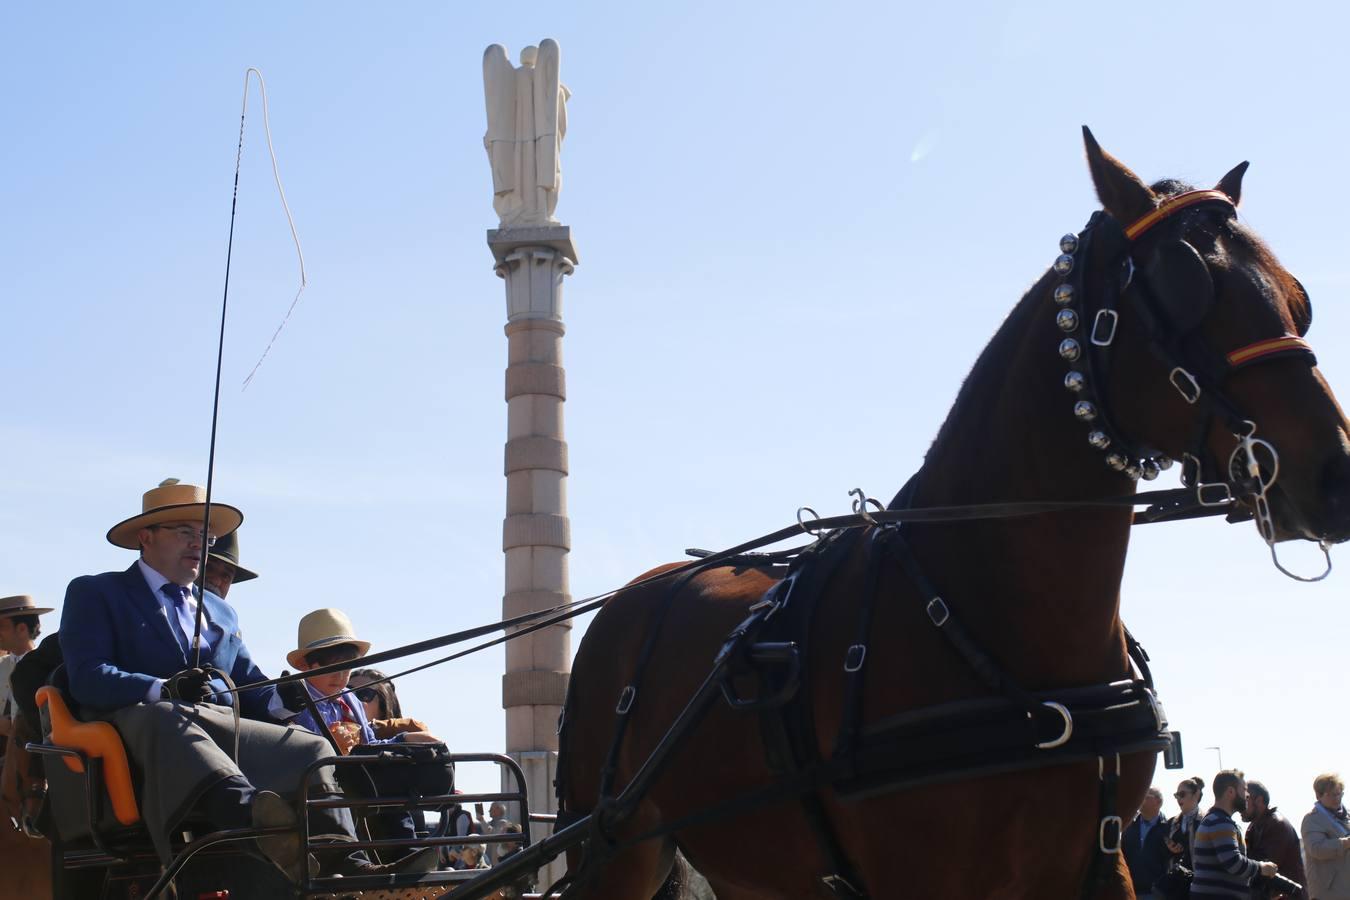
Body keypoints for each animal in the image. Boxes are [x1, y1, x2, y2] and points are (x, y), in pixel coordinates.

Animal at [553, 132, 1350, 900]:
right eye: (1187, 286)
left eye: (1297, 297)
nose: (1335, 473)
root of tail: (630, 598)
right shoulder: (922, 874)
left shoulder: (1101, 865)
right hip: (613, 853)